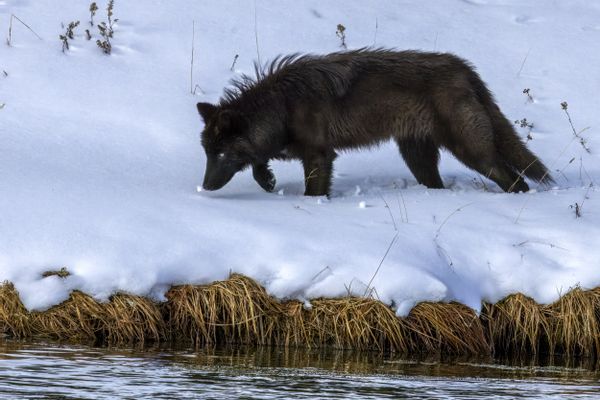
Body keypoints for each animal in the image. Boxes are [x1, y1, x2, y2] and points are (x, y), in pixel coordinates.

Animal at [198, 48, 552, 197]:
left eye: (222, 154)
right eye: (208, 153)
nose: (206, 187)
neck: (282, 106)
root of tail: (465, 69)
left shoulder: (319, 155)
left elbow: (313, 192)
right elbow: (259, 164)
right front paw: (268, 180)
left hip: (471, 151)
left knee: (516, 180)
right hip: (417, 157)